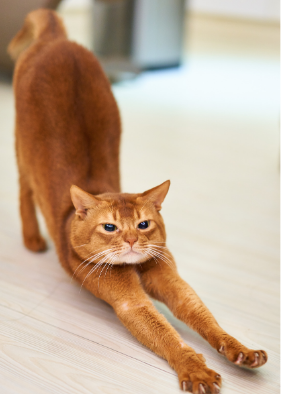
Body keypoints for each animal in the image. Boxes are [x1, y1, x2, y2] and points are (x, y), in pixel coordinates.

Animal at [8, 9, 266, 394]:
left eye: (144, 224)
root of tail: (57, 38)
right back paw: (33, 239)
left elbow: (205, 318)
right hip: (21, 145)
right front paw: (196, 370)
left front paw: (240, 350)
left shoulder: (176, 284)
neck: (137, 268)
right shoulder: (130, 302)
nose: (131, 240)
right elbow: (169, 336)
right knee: (25, 188)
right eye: (110, 227)